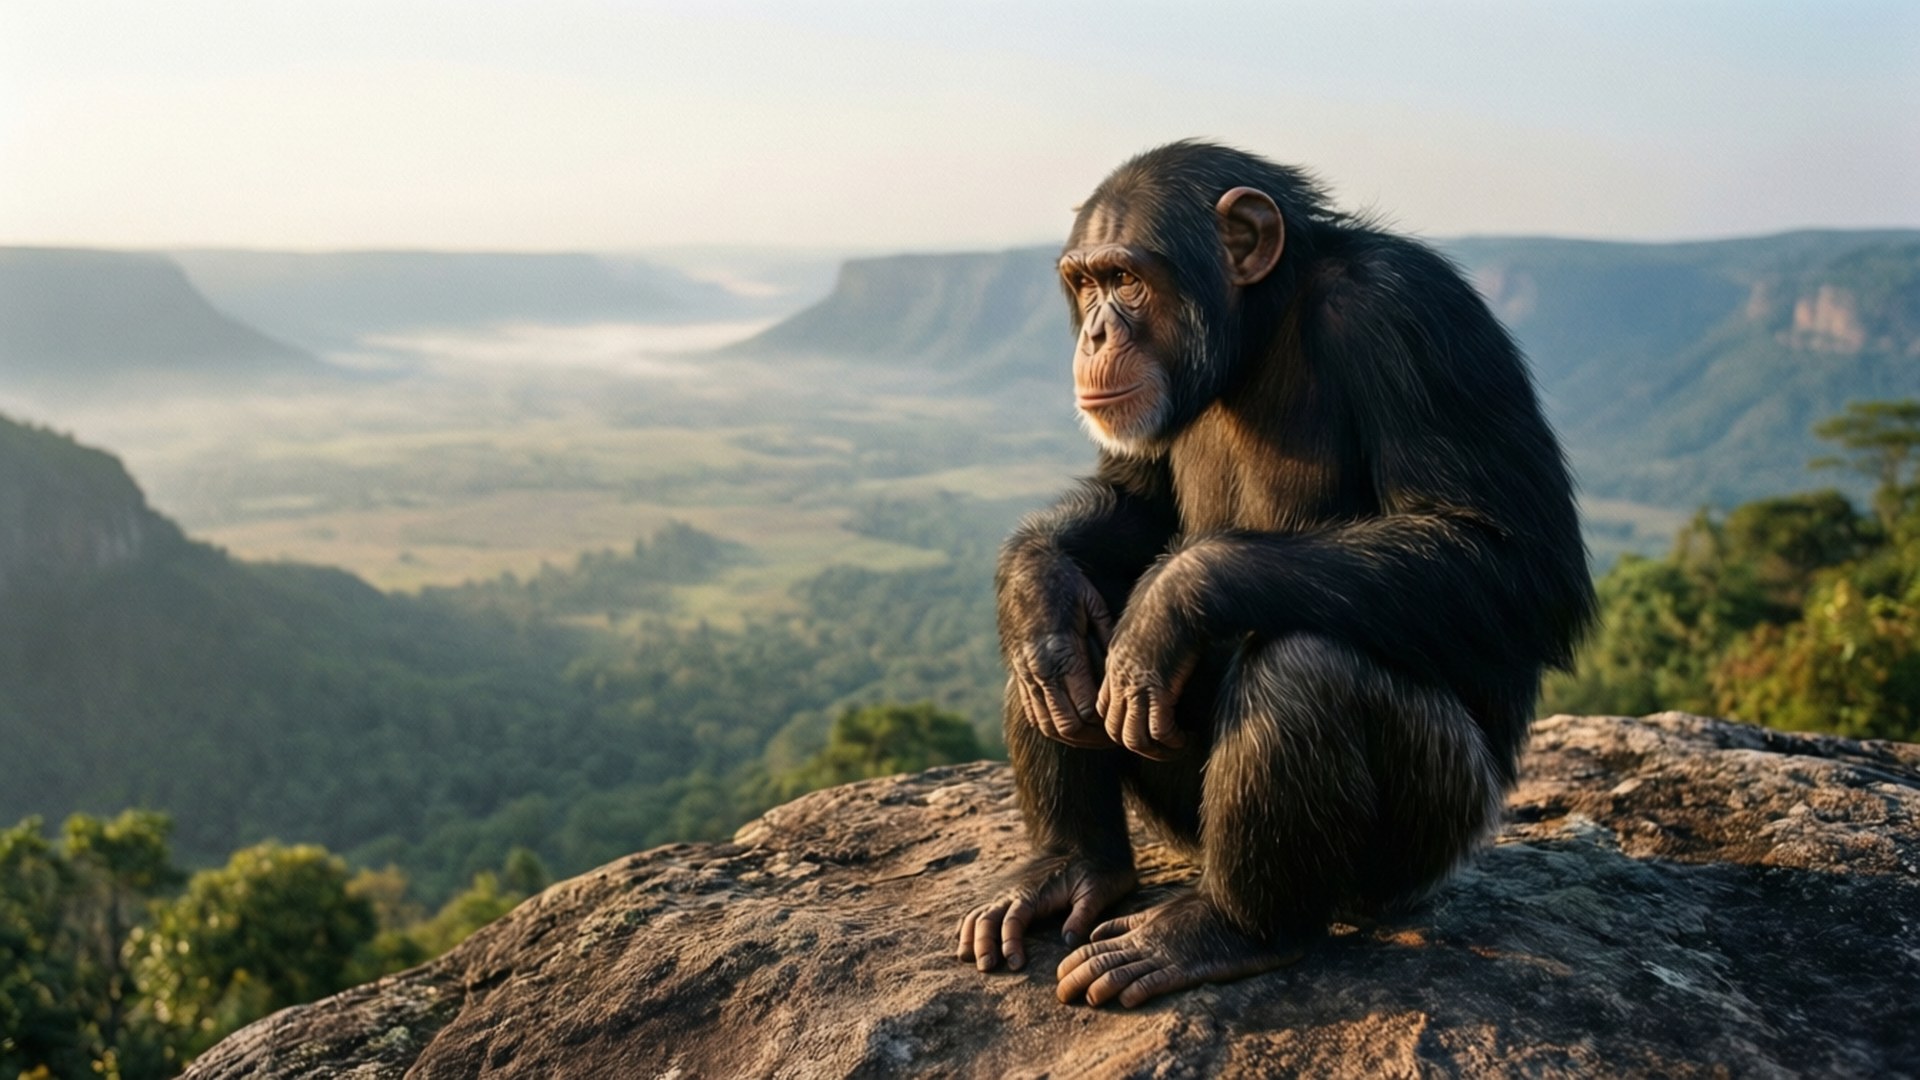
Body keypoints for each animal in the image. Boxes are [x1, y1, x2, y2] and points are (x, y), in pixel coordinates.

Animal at [955, 141, 1595, 1007]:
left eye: (1124, 278)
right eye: (1083, 283)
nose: (1092, 332)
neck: (1258, 334)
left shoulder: (1414, 317)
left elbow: (1509, 553)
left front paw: (1174, 599)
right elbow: (1137, 501)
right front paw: (1035, 580)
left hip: (1422, 852)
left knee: (1306, 667)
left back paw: (1226, 928)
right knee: (1067, 644)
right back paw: (1070, 862)